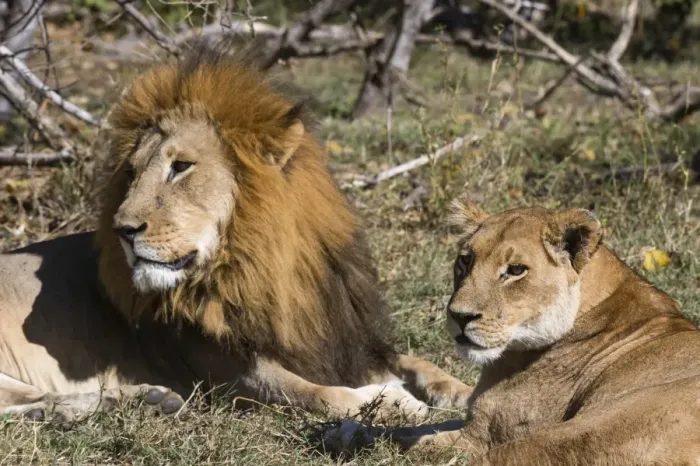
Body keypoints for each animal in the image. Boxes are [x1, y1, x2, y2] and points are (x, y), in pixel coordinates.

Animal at [0, 43, 473, 423]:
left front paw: (467, 394)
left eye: (180, 166)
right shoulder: (231, 375)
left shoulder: (342, 342)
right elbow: (321, 394)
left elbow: (424, 365)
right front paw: (395, 402)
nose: (123, 230)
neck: (269, 267)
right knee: (24, 403)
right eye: (132, 173)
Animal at [328, 196, 700, 465]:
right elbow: (427, 424)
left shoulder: (483, 435)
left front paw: (346, 435)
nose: (459, 316)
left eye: (516, 270)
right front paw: (340, 430)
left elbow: (404, 440)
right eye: (465, 260)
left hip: (585, 429)